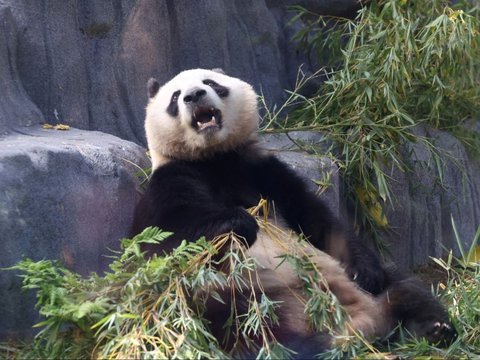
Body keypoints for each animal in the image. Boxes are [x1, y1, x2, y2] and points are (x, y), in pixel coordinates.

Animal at [130, 68, 454, 358]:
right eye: (175, 97)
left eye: (211, 83)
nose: (194, 95)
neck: (214, 158)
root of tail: (358, 324)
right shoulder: (170, 181)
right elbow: (169, 241)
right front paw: (238, 222)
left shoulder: (265, 172)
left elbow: (320, 220)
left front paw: (365, 271)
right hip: (247, 297)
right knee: (244, 326)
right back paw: (299, 346)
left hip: (372, 291)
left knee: (406, 288)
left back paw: (434, 329)